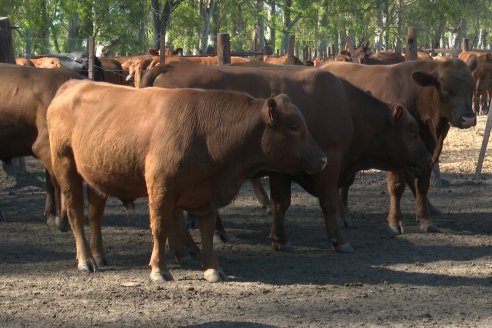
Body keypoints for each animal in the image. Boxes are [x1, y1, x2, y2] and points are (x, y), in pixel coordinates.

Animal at [48, 80, 328, 282]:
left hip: (97, 176)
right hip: (66, 166)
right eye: (293, 127)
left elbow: (206, 230)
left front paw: (213, 268)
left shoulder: (207, 192)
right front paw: (159, 269)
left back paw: (100, 255)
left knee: (95, 213)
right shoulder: (161, 188)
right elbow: (160, 228)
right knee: (75, 212)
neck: (206, 132)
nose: (323, 159)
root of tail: (73, 84)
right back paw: (86, 260)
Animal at [320, 58, 478, 233]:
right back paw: (342, 216)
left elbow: (422, 186)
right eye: (445, 88)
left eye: (472, 86)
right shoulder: (394, 153)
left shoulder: (429, 154)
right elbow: (397, 186)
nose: (469, 118)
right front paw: (395, 221)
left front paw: (425, 220)